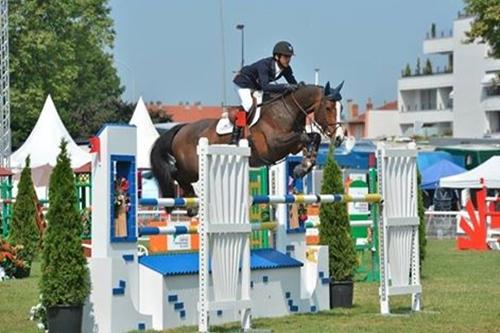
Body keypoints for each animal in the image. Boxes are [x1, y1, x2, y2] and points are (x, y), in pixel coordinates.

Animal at [148, 81, 344, 214]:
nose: (340, 138)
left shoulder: (293, 146)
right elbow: (307, 136)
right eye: (328, 107)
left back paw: (191, 204)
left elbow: (313, 137)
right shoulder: (274, 146)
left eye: (341, 108)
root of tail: (181, 128)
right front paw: (302, 167)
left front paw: (304, 166)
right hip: (192, 168)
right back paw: (191, 201)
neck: (286, 110)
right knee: (175, 173)